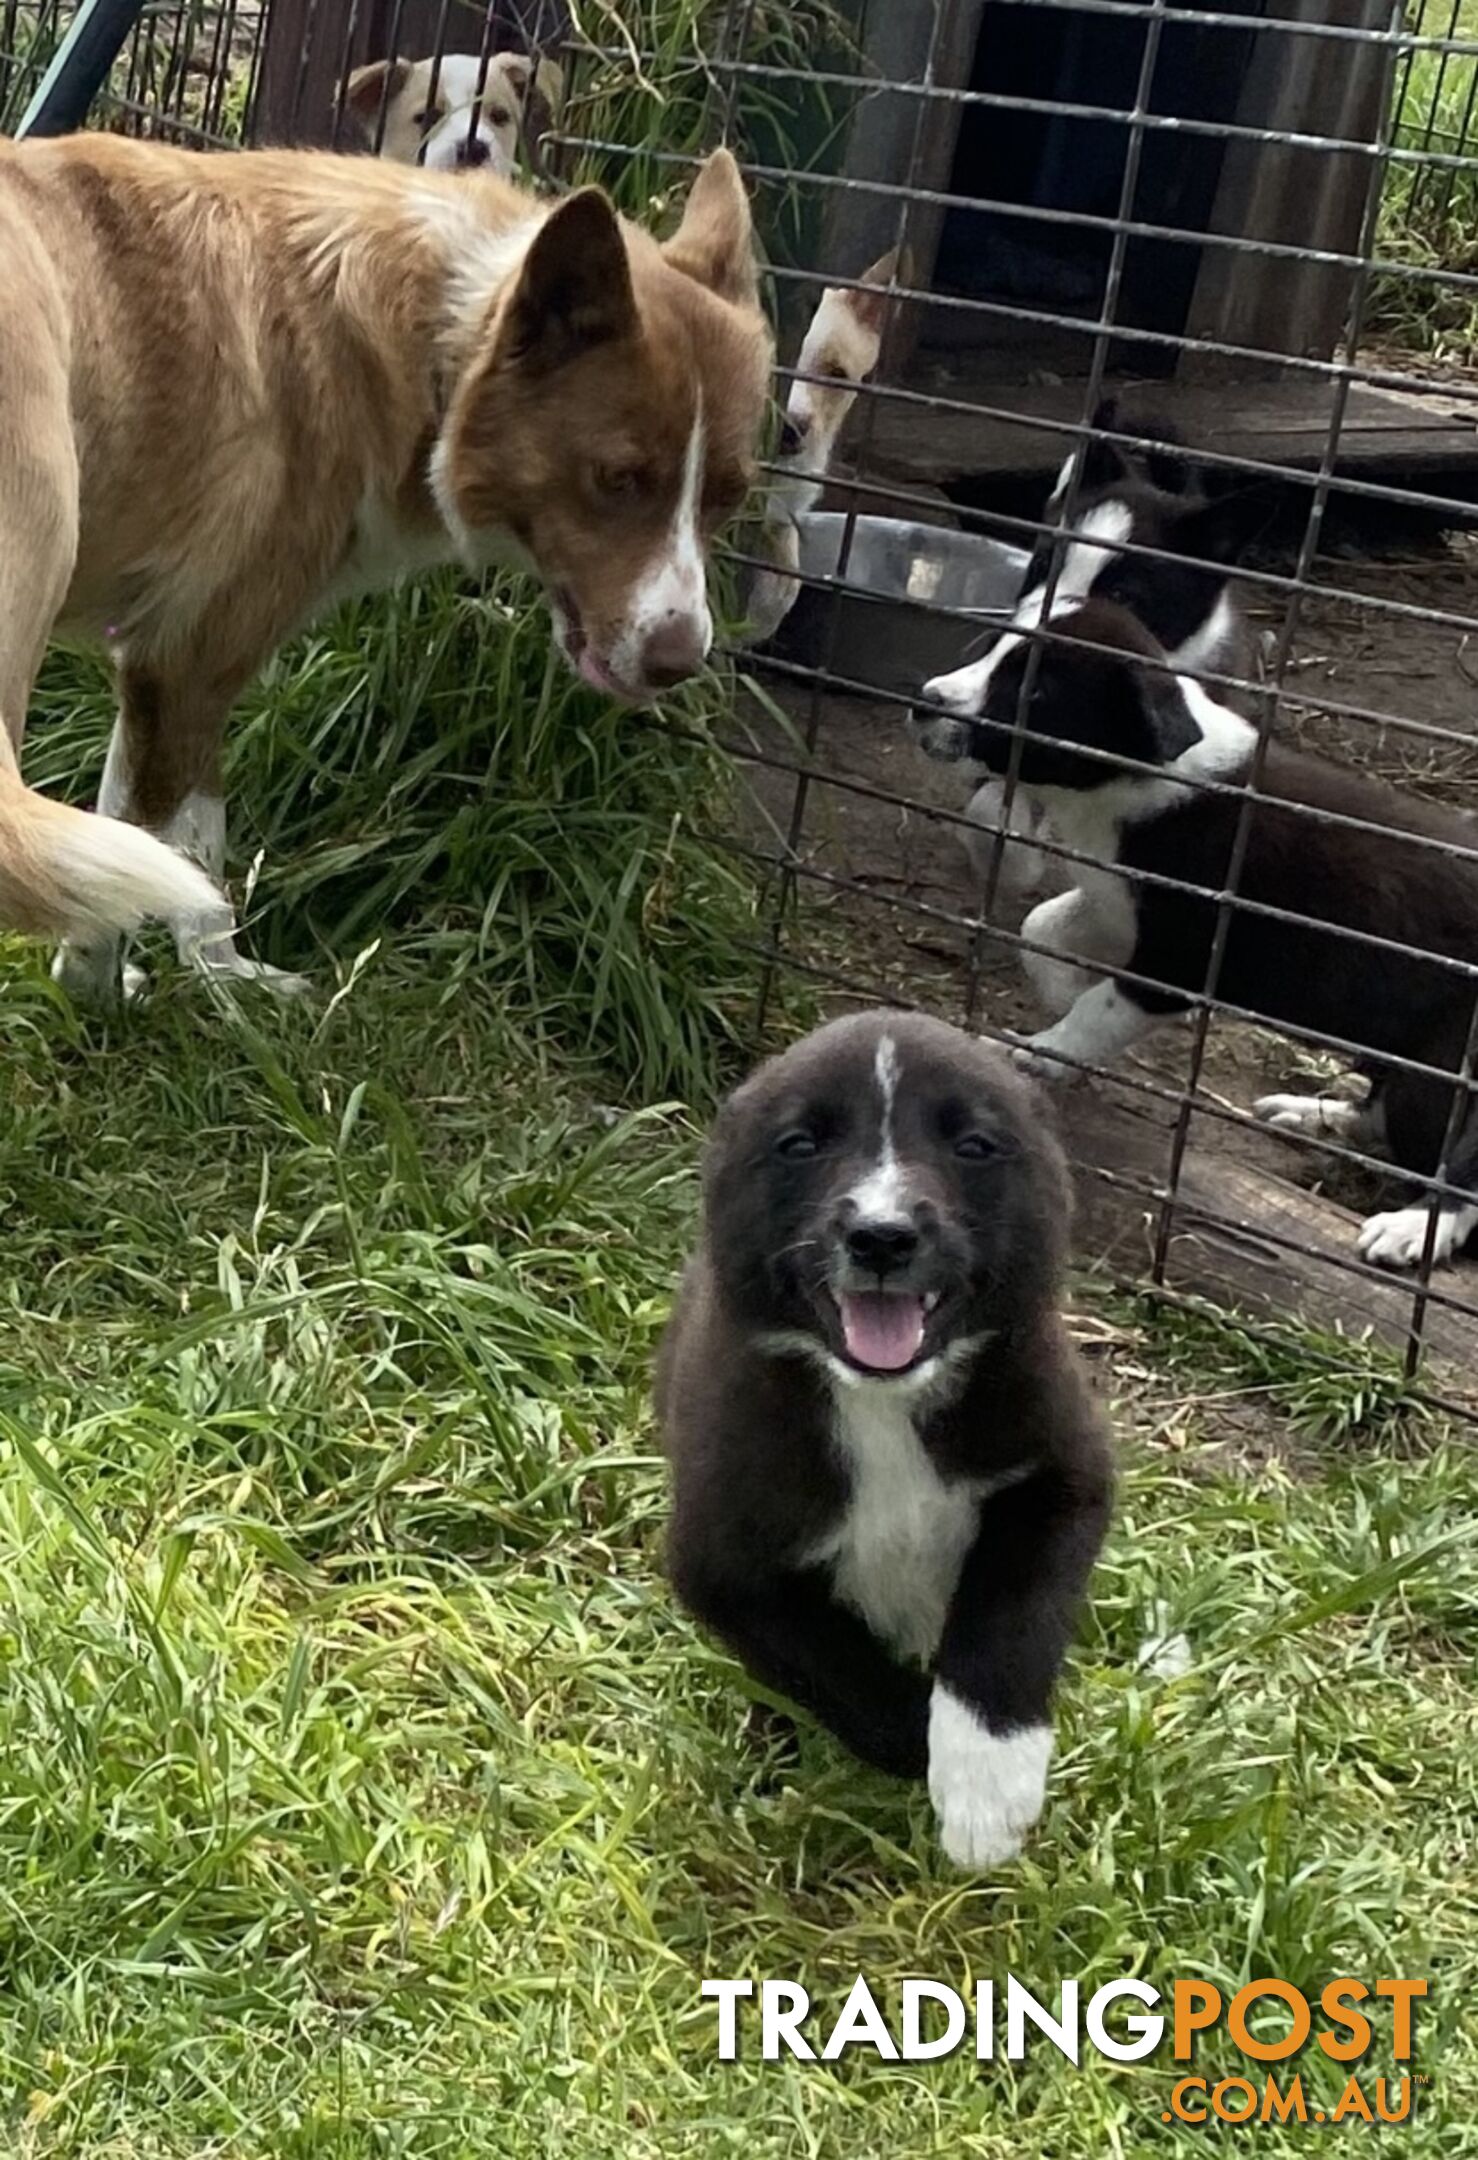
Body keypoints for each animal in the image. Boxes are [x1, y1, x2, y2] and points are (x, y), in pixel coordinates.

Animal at [0, 139, 769, 997]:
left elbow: (157, 847)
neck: (433, 336)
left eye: (729, 496)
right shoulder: (189, 666)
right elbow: (182, 857)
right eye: (620, 479)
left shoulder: (153, 675)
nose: (680, 663)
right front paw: (140, 994)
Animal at [656, 1010, 1106, 1874]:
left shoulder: (1060, 1476)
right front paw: (932, 1761)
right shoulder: (725, 1562)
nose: (882, 1236)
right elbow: (842, 1671)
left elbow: (1009, 1621)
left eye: (974, 1145)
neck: (881, 1403)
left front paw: (987, 1782)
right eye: (800, 1144)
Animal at [911, 600, 1478, 1270]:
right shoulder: (1113, 903)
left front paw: (1045, 1049)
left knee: (1457, 1164)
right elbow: (1040, 928)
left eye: (1035, 690)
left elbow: (1099, 1007)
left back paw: (1414, 1227)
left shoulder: (1177, 960)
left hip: (1442, 1064)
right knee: (1386, 1116)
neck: (1127, 784)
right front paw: (1059, 996)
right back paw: (1317, 1115)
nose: (925, 700)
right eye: (991, 650)